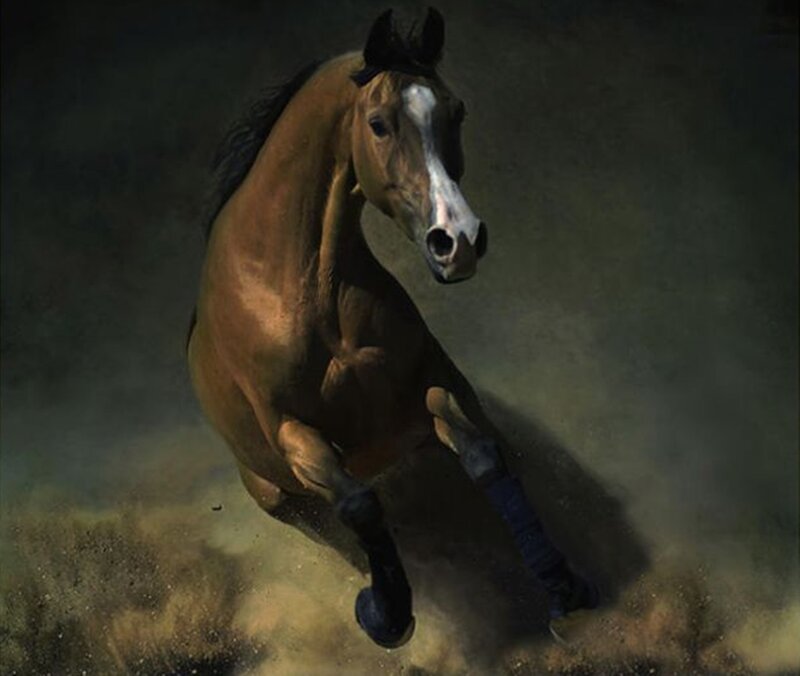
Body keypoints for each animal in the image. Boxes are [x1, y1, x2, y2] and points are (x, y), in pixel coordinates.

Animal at [187, 8, 597, 648]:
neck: (302, 288)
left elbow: (485, 457)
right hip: (275, 493)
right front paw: (386, 614)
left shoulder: (431, 384)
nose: (458, 241)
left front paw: (560, 587)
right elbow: (359, 505)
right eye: (378, 124)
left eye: (456, 111)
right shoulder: (293, 432)